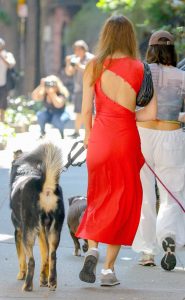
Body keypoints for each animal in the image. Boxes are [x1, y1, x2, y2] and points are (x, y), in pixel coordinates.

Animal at [10, 143, 65, 290]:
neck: (26, 170)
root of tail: (45, 186)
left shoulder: (18, 231)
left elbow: (21, 258)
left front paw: (21, 274)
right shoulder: (42, 232)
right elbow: (45, 255)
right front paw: (44, 279)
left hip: (28, 233)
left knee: (31, 260)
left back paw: (27, 286)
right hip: (54, 231)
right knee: (52, 256)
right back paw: (51, 281)